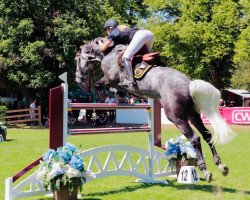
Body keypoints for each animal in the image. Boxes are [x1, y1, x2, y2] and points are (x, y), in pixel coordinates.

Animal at [75, 38, 235, 183]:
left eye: (78, 60)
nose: (78, 79)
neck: (107, 52)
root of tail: (189, 83)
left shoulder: (110, 78)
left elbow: (100, 85)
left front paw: (112, 95)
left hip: (176, 117)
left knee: (195, 138)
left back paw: (205, 170)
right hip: (192, 114)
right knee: (207, 135)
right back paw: (221, 166)